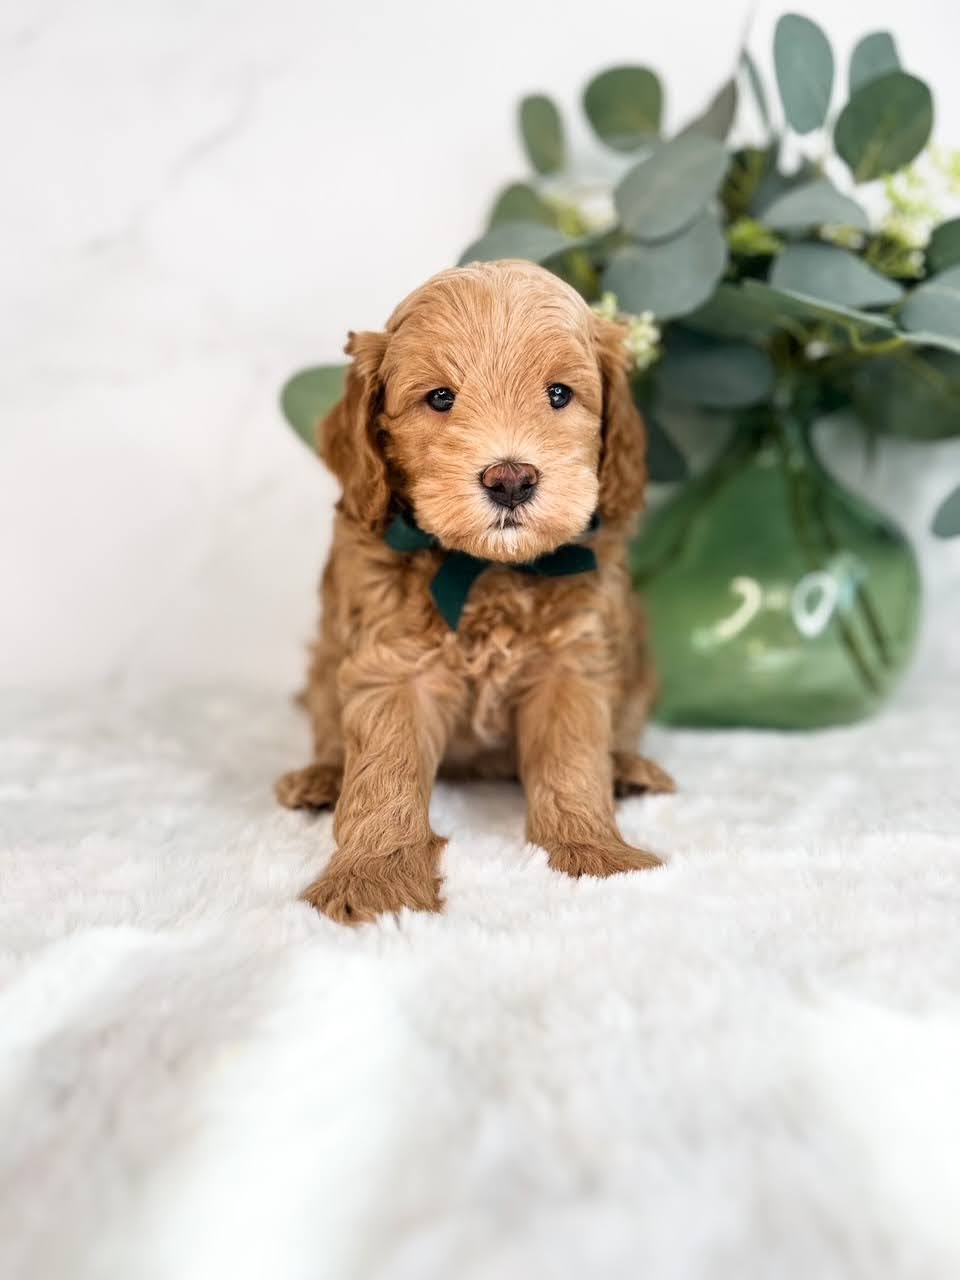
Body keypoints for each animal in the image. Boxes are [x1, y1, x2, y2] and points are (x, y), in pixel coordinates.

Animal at [273, 257, 670, 921]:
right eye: (440, 398)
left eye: (559, 394)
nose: (511, 479)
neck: (487, 570)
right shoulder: (393, 664)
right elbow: (383, 773)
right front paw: (374, 880)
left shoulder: (571, 664)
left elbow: (572, 760)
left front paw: (593, 853)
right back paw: (322, 778)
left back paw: (628, 768)